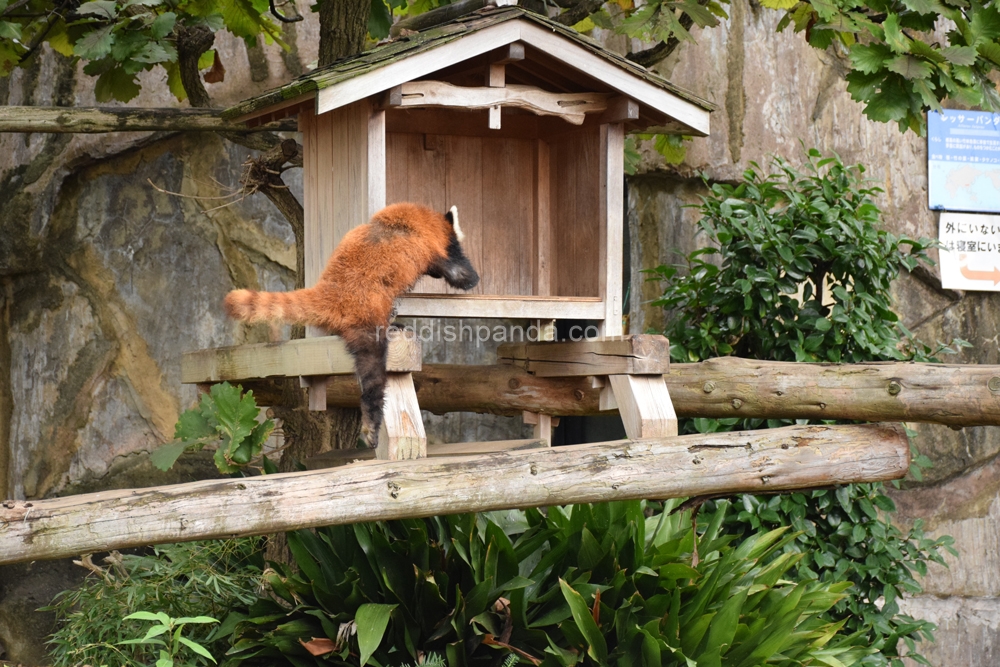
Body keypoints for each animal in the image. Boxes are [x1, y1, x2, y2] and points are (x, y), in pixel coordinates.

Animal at [224, 201, 480, 446]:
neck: (418, 220)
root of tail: (330, 292)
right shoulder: (430, 248)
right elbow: (455, 270)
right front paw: (470, 277)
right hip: (365, 315)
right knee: (372, 369)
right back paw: (371, 425)